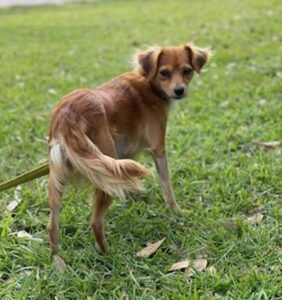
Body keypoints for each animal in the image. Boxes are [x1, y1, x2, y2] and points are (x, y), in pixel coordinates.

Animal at [47, 42, 210, 268]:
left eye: (187, 71)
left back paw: (57, 259)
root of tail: (67, 114)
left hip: (64, 177)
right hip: (104, 166)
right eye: (164, 73)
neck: (149, 84)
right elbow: (167, 185)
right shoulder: (158, 149)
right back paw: (107, 254)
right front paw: (176, 211)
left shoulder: (126, 155)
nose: (179, 90)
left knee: (52, 225)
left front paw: (135, 196)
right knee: (95, 221)